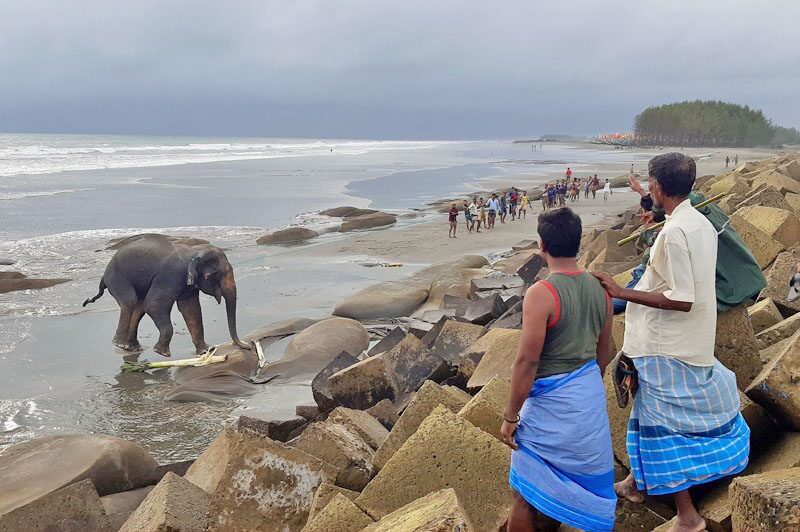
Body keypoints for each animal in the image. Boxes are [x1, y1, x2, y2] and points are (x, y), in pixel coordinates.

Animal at [83, 234, 250, 356]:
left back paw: (131, 348)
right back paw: (119, 343)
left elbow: (191, 309)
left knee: (139, 307)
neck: (194, 252)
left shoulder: (187, 284)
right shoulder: (170, 275)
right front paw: (162, 353)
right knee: (131, 302)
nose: (247, 345)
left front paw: (206, 351)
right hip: (117, 278)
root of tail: (104, 276)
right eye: (217, 274)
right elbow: (154, 305)